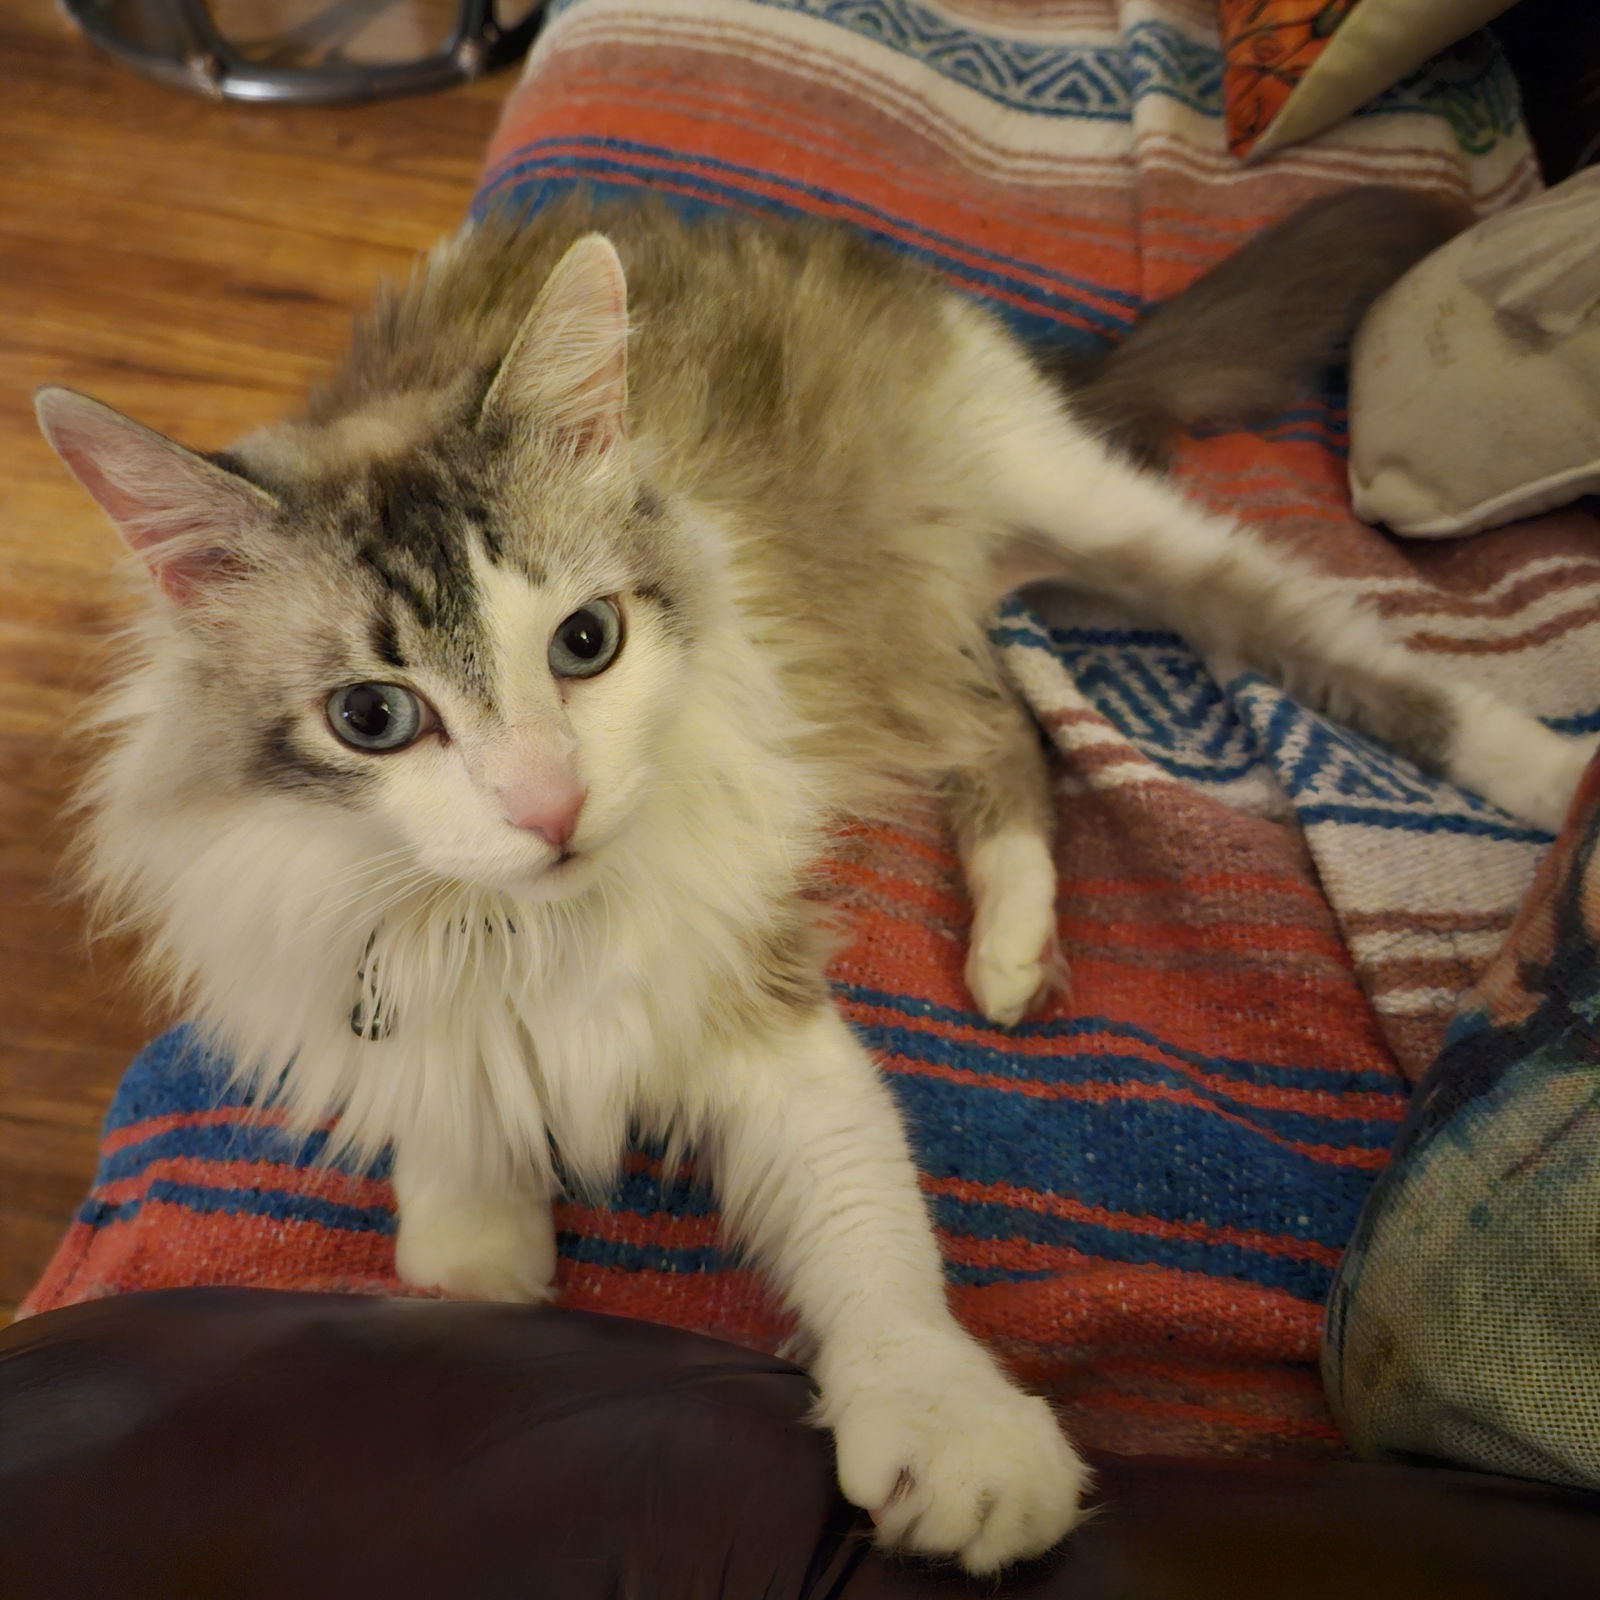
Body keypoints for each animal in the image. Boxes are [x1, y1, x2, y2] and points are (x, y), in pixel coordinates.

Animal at [34, 181, 1587, 1568]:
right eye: (373, 716)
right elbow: (456, 1214)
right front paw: (495, 1254)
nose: (552, 806)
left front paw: (955, 1438)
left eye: (586, 642)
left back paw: (1552, 784)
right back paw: (1010, 948)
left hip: (1083, 517)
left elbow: (870, 1234)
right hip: (916, 620)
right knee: (1007, 720)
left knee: (1335, 650)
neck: (515, 928)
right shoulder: (362, 991)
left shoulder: (759, 1006)